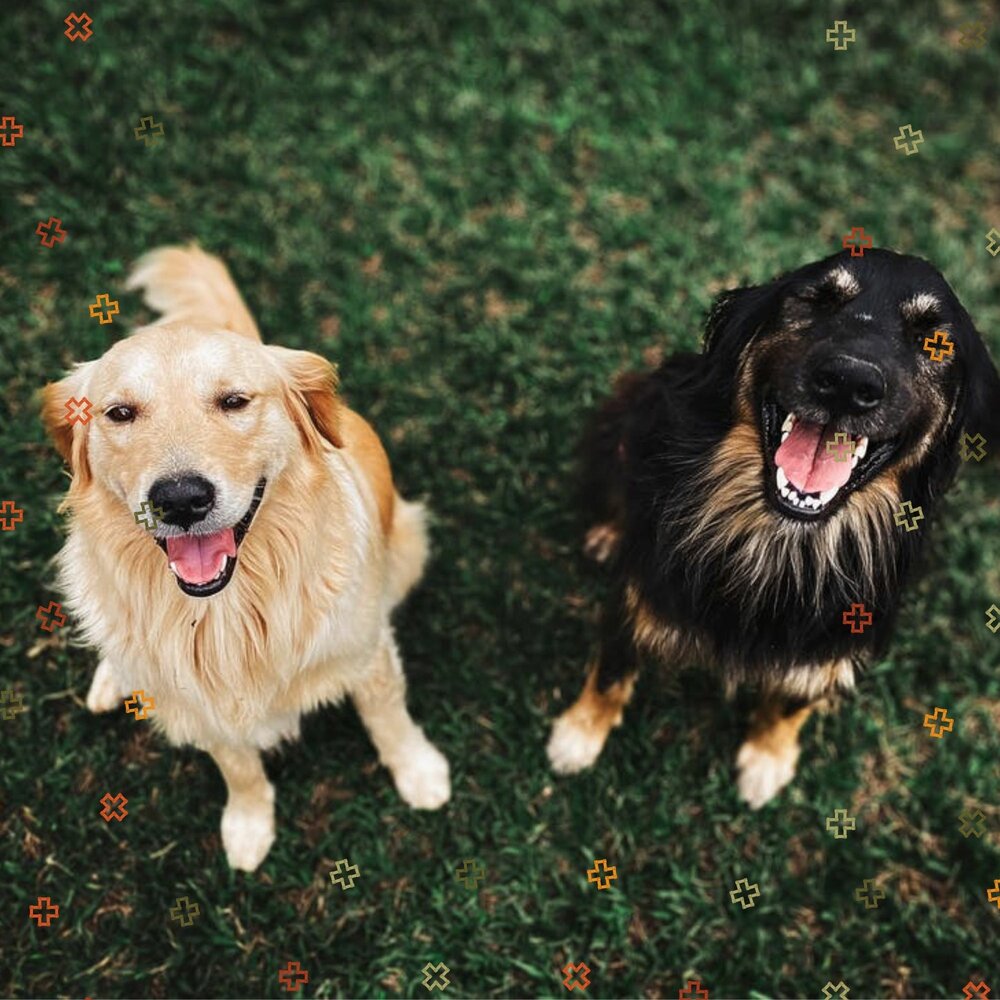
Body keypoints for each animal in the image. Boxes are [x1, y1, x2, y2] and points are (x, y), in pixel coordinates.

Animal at [548, 246, 1000, 808]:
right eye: (817, 300)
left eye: (933, 342)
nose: (848, 383)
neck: (781, 537)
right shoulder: (639, 591)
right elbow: (612, 668)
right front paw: (577, 736)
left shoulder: (834, 639)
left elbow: (792, 700)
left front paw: (767, 760)